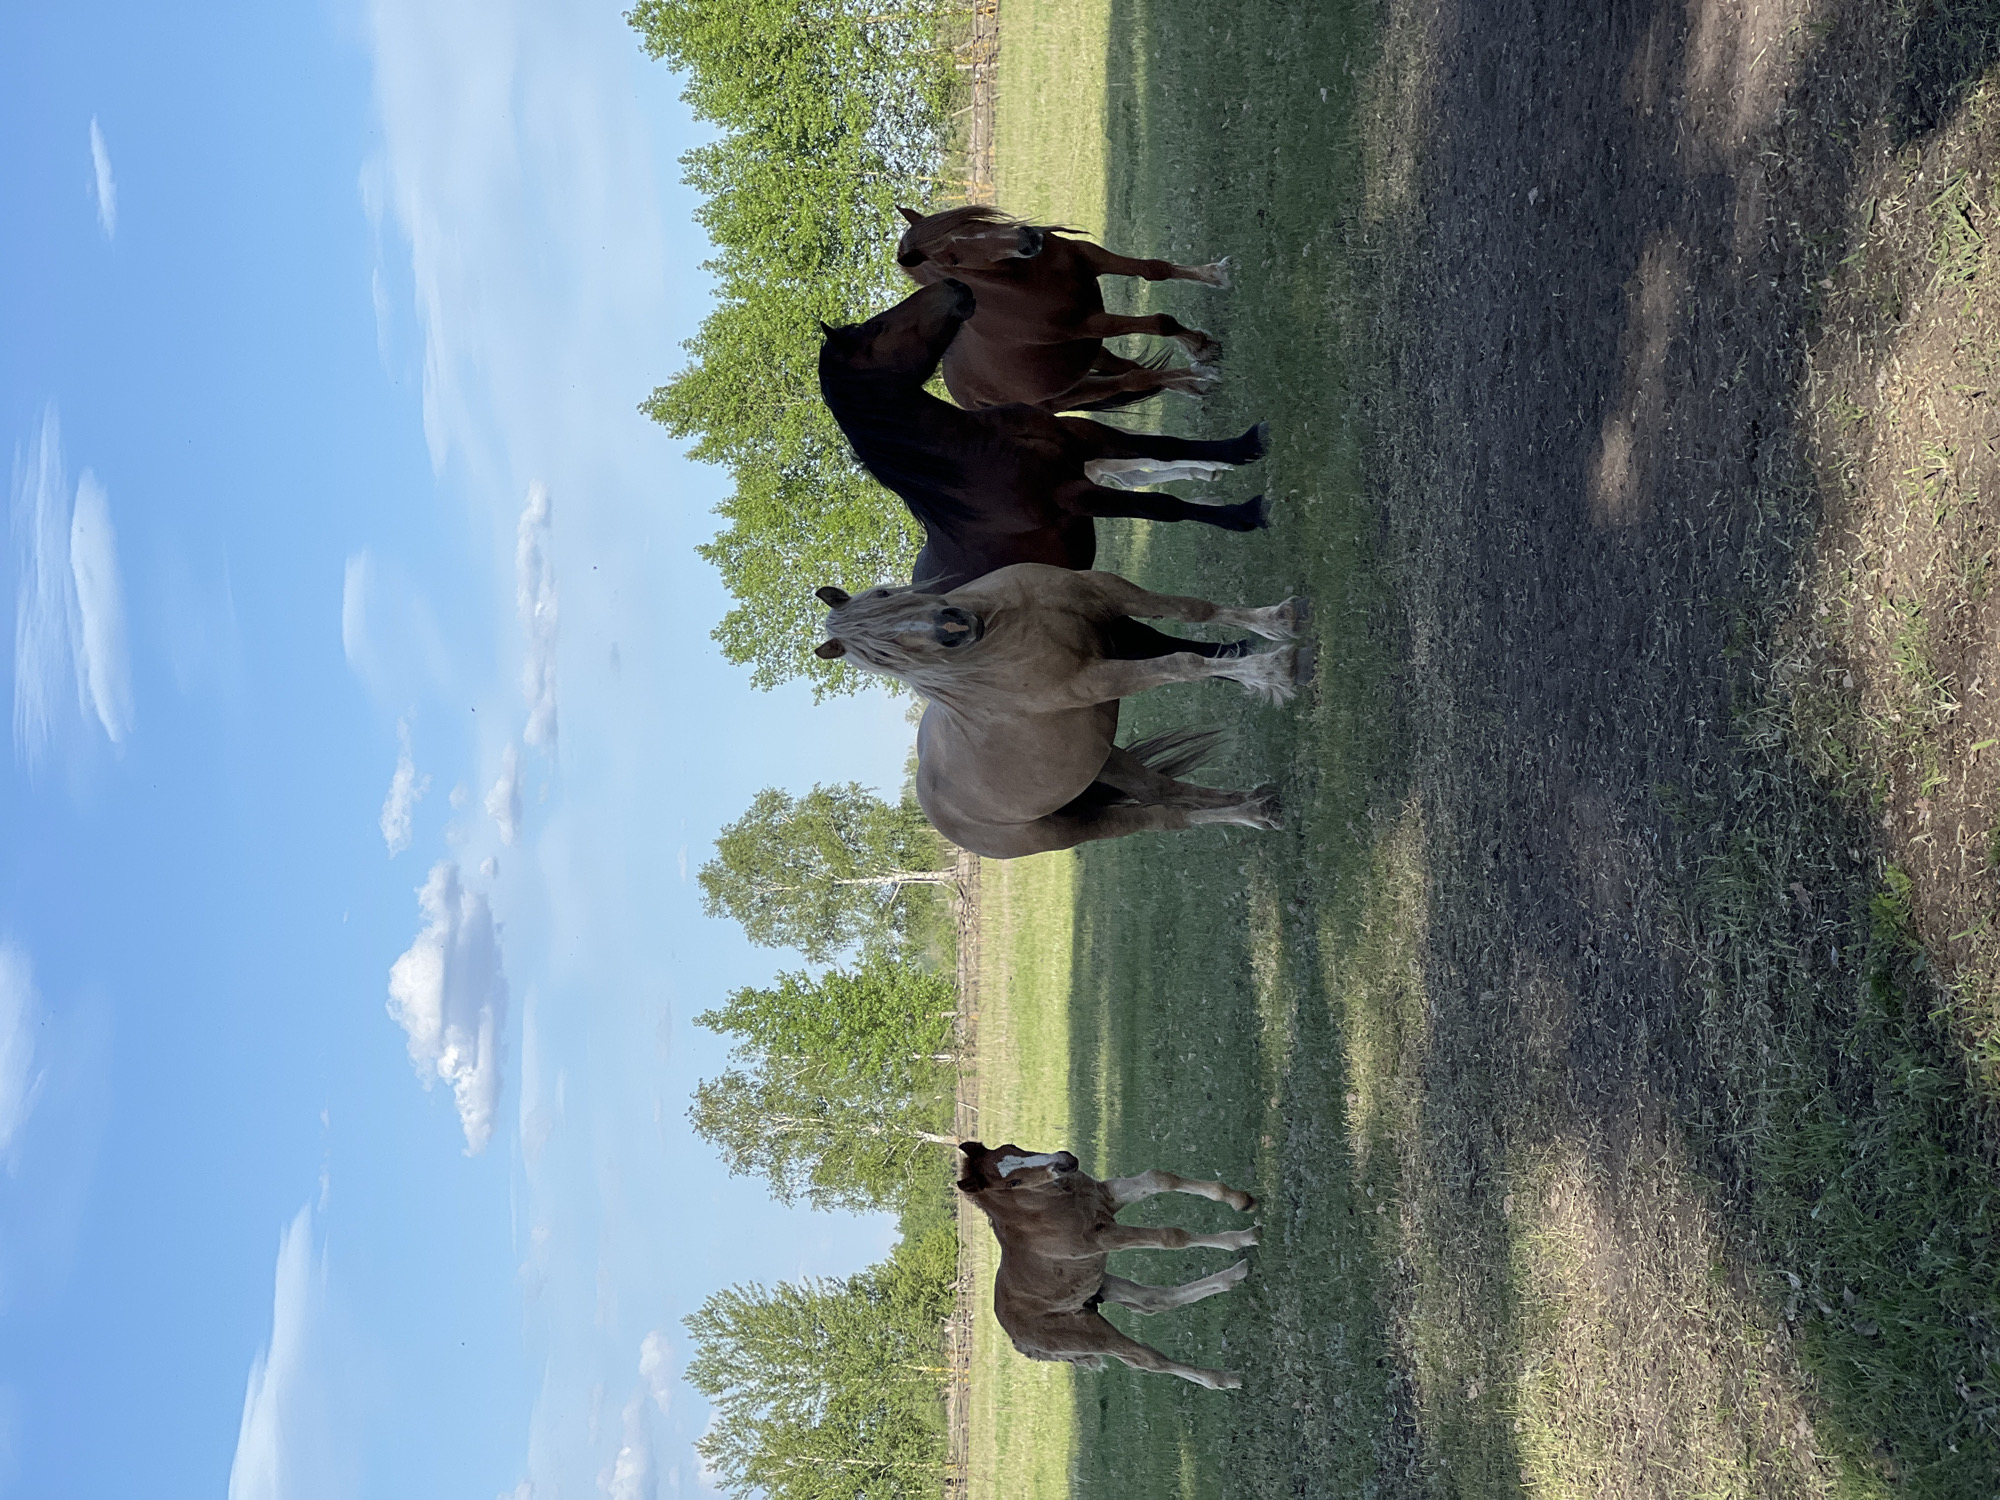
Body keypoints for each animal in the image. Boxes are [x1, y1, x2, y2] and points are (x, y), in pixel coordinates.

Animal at [811, 565, 1311, 858]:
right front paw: (1272, 671)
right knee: (1162, 815)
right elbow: (1182, 664)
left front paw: (1278, 621)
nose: (951, 628)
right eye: (881, 657)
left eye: (882, 594)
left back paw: (1257, 807)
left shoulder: (1108, 591)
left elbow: (1195, 609)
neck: (1006, 628)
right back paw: (1250, 811)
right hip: (1082, 826)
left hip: (1102, 760)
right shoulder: (1093, 680)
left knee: (1164, 791)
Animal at [819, 279, 1269, 594]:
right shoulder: (1075, 494)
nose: (953, 285)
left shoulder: (1086, 438)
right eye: (877, 328)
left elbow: (1166, 447)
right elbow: (1164, 506)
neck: (976, 453)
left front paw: (1244, 446)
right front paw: (1243, 515)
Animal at [894, 203, 1228, 413]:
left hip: (1088, 355)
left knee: (1130, 369)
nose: (1028, 239)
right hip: (1069, 392)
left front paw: (1213, 275)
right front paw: (1200, 346)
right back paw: (1195, 376)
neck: (1023, 283)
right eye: (953, 259)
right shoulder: (1089, 324)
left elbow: (1154, 269)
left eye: (969, 221)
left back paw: (1189, 381)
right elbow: (1161, 323)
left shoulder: (1090, 256)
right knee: (1132, 380)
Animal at [956, 1141, 1260, 1390]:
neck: (1047, 1206)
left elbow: (1160, 1178)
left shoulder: (1106, 1195)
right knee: (1144, 1358)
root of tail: (1019, 1342)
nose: (1065, 1161)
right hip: (1089, 1334)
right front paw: (1245, 1237)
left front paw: (1242, 1201)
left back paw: (1238, 1273)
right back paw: (1225, 1379)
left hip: (1100, 1284)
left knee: (1153, 1300)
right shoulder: (1101, 1238)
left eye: (1013, 1146)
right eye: (1013, 1182)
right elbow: (1171, 1236)